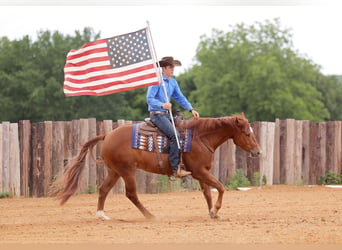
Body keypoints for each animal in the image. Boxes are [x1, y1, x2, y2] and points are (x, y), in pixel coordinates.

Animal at [54, 112, 260, 220]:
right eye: (247, 134)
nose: (258, 152)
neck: (201, 137)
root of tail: (107, 135)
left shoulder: (203, 173)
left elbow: (208, 192)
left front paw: (213, 213)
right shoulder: (199, 172)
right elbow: (220, 187)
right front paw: (216, 210)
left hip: (114, 171)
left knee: (103, 189)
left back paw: (101, 215)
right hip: (127, 170)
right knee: (131, 194)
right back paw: (150, 215)